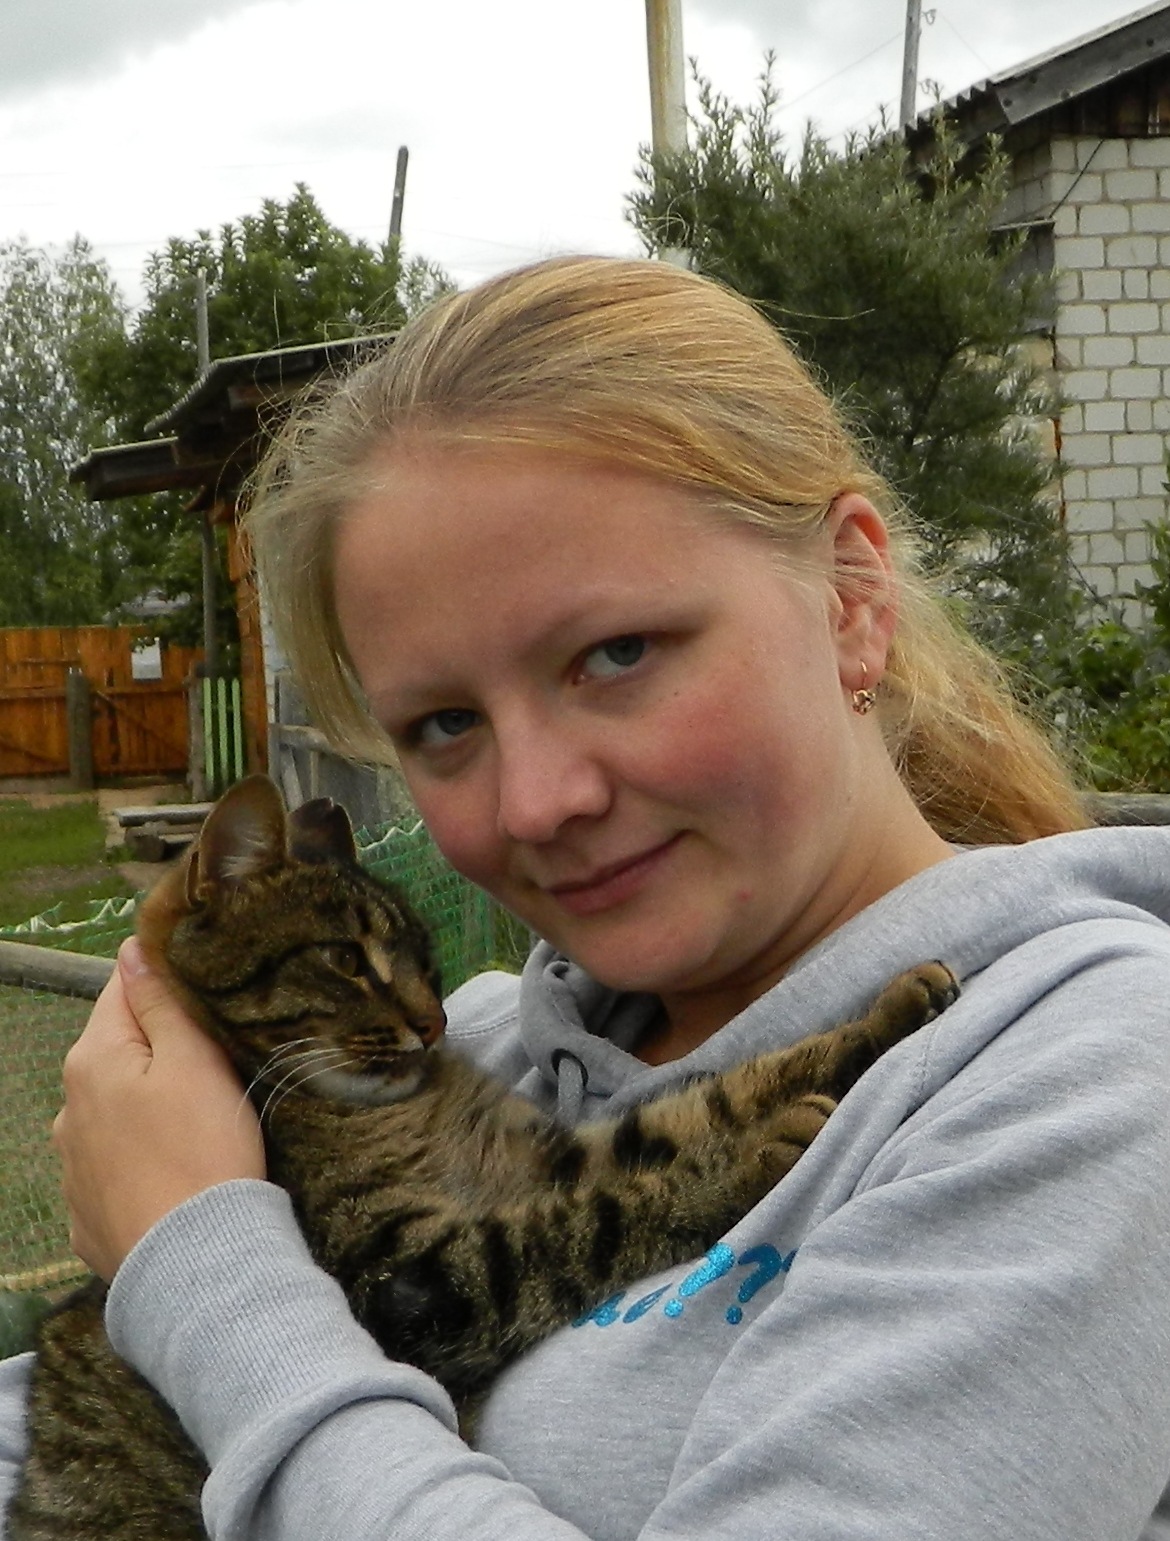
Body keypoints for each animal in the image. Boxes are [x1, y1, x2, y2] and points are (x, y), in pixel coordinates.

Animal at [9, 774, 958, 1540]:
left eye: (427, 961)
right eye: (345, 957)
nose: (433, 1023)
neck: (394, 1103)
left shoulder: (544, 1162)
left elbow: (706, 1101)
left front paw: (881, 1014)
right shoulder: (417, 1283)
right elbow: (601, 1220)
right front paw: (753, 1158)